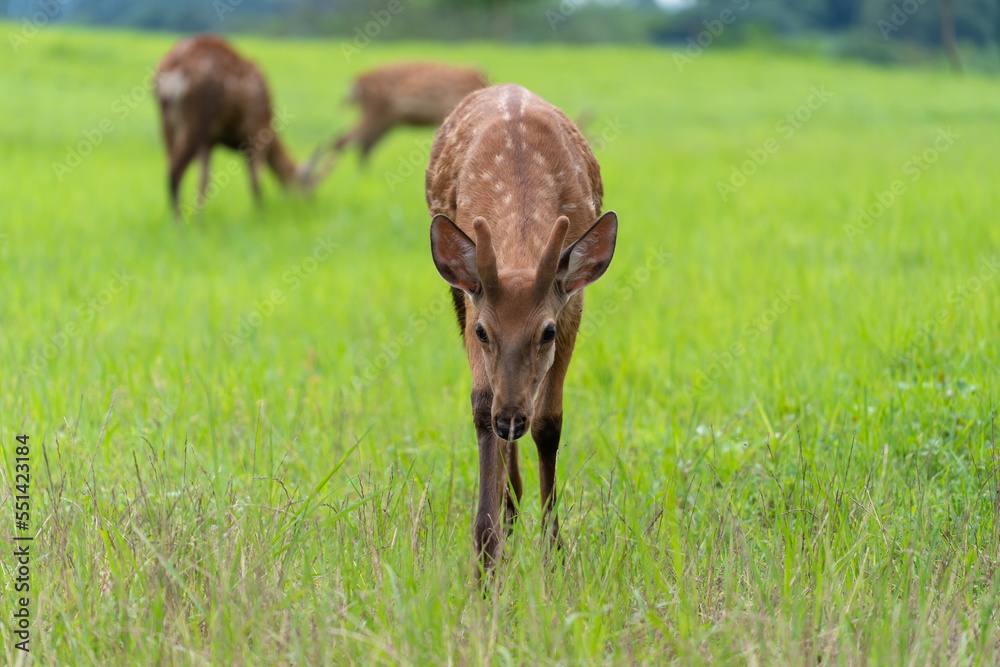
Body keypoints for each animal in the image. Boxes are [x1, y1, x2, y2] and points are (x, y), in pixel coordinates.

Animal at [152, 36, 332, 219]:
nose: (311, 203)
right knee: (175, 171)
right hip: (198, 116)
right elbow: (255, 179)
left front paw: (199, 220)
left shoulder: (209, 142)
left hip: (167, 121)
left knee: (171, 164)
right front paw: (261, 215)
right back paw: (178, 223)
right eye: (309, 187)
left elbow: (203, 182)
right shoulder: (257, 129)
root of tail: (175, 66)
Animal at [334, 62, 490, 164]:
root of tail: (354, 86)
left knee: (362, 145)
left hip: (386, 120)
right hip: (375, 110)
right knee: (345, 141)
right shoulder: (441, 111)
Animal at [424, 82, 616, 576]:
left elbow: (549, 423)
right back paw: (508, 505)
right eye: (484, 333)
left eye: (545, 332)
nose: (510, 419)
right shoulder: (470, 300)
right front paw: (485, 556)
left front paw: (554, 553)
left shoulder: (573, 302)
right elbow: (480, 404)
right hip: (453, 292)